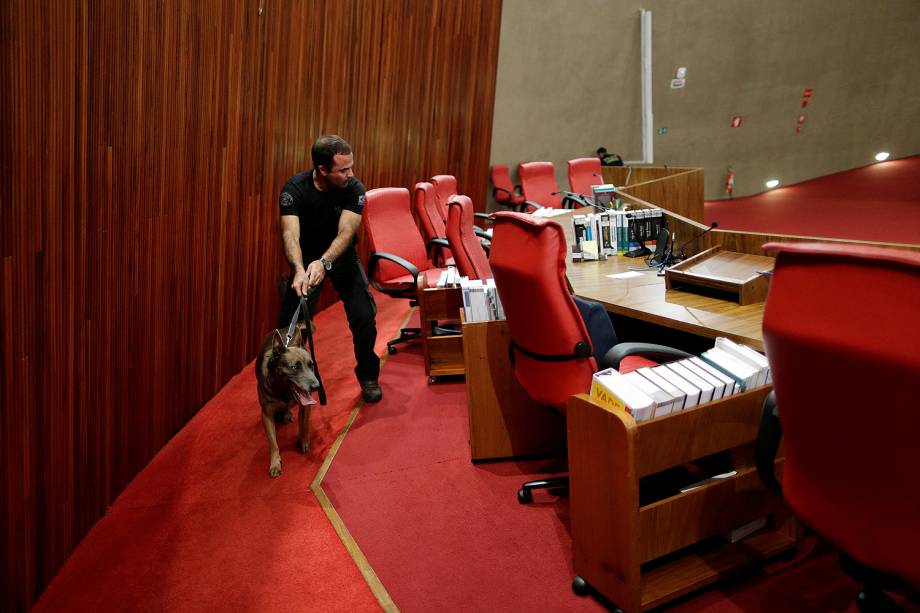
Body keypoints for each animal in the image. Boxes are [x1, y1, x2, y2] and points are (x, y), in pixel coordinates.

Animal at [255, 326, 320, 478]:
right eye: (295, 367)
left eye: (311, 365)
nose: (317, 387)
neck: (283, 390)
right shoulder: (266, 414)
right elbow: (273, 443)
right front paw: (275, 463)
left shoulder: (306, 406)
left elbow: (304, 424)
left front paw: (303, 441)